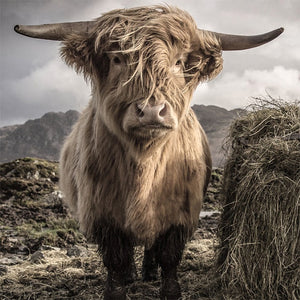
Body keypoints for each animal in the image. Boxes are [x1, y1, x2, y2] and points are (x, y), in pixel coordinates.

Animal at [15, 5, 284, 298]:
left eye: (178, 62)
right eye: (117, 59)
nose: (152, 111)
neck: (144, 164)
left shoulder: (180, 214)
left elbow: (169, 255)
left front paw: (170, 291)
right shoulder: (102, 214)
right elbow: (116, 259)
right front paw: (116, 290)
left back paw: (148, 272)